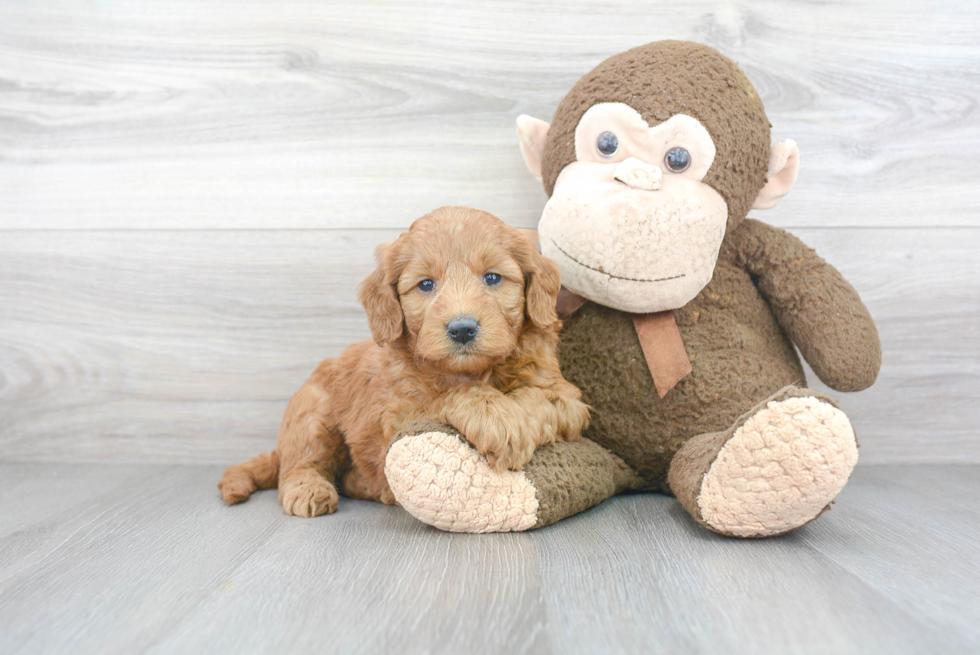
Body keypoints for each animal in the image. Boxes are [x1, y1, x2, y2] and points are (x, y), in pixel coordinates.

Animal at [220, 206, 588, 516]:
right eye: (426, 284)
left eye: (493, 278)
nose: (462, 329)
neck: (472, 372)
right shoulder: (397, 413)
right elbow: (447, 397)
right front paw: (494, 416)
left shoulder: (568, 399)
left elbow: (538, 398)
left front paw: (509, 422)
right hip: (313, 412)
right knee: (300, 463)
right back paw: (311, 490)